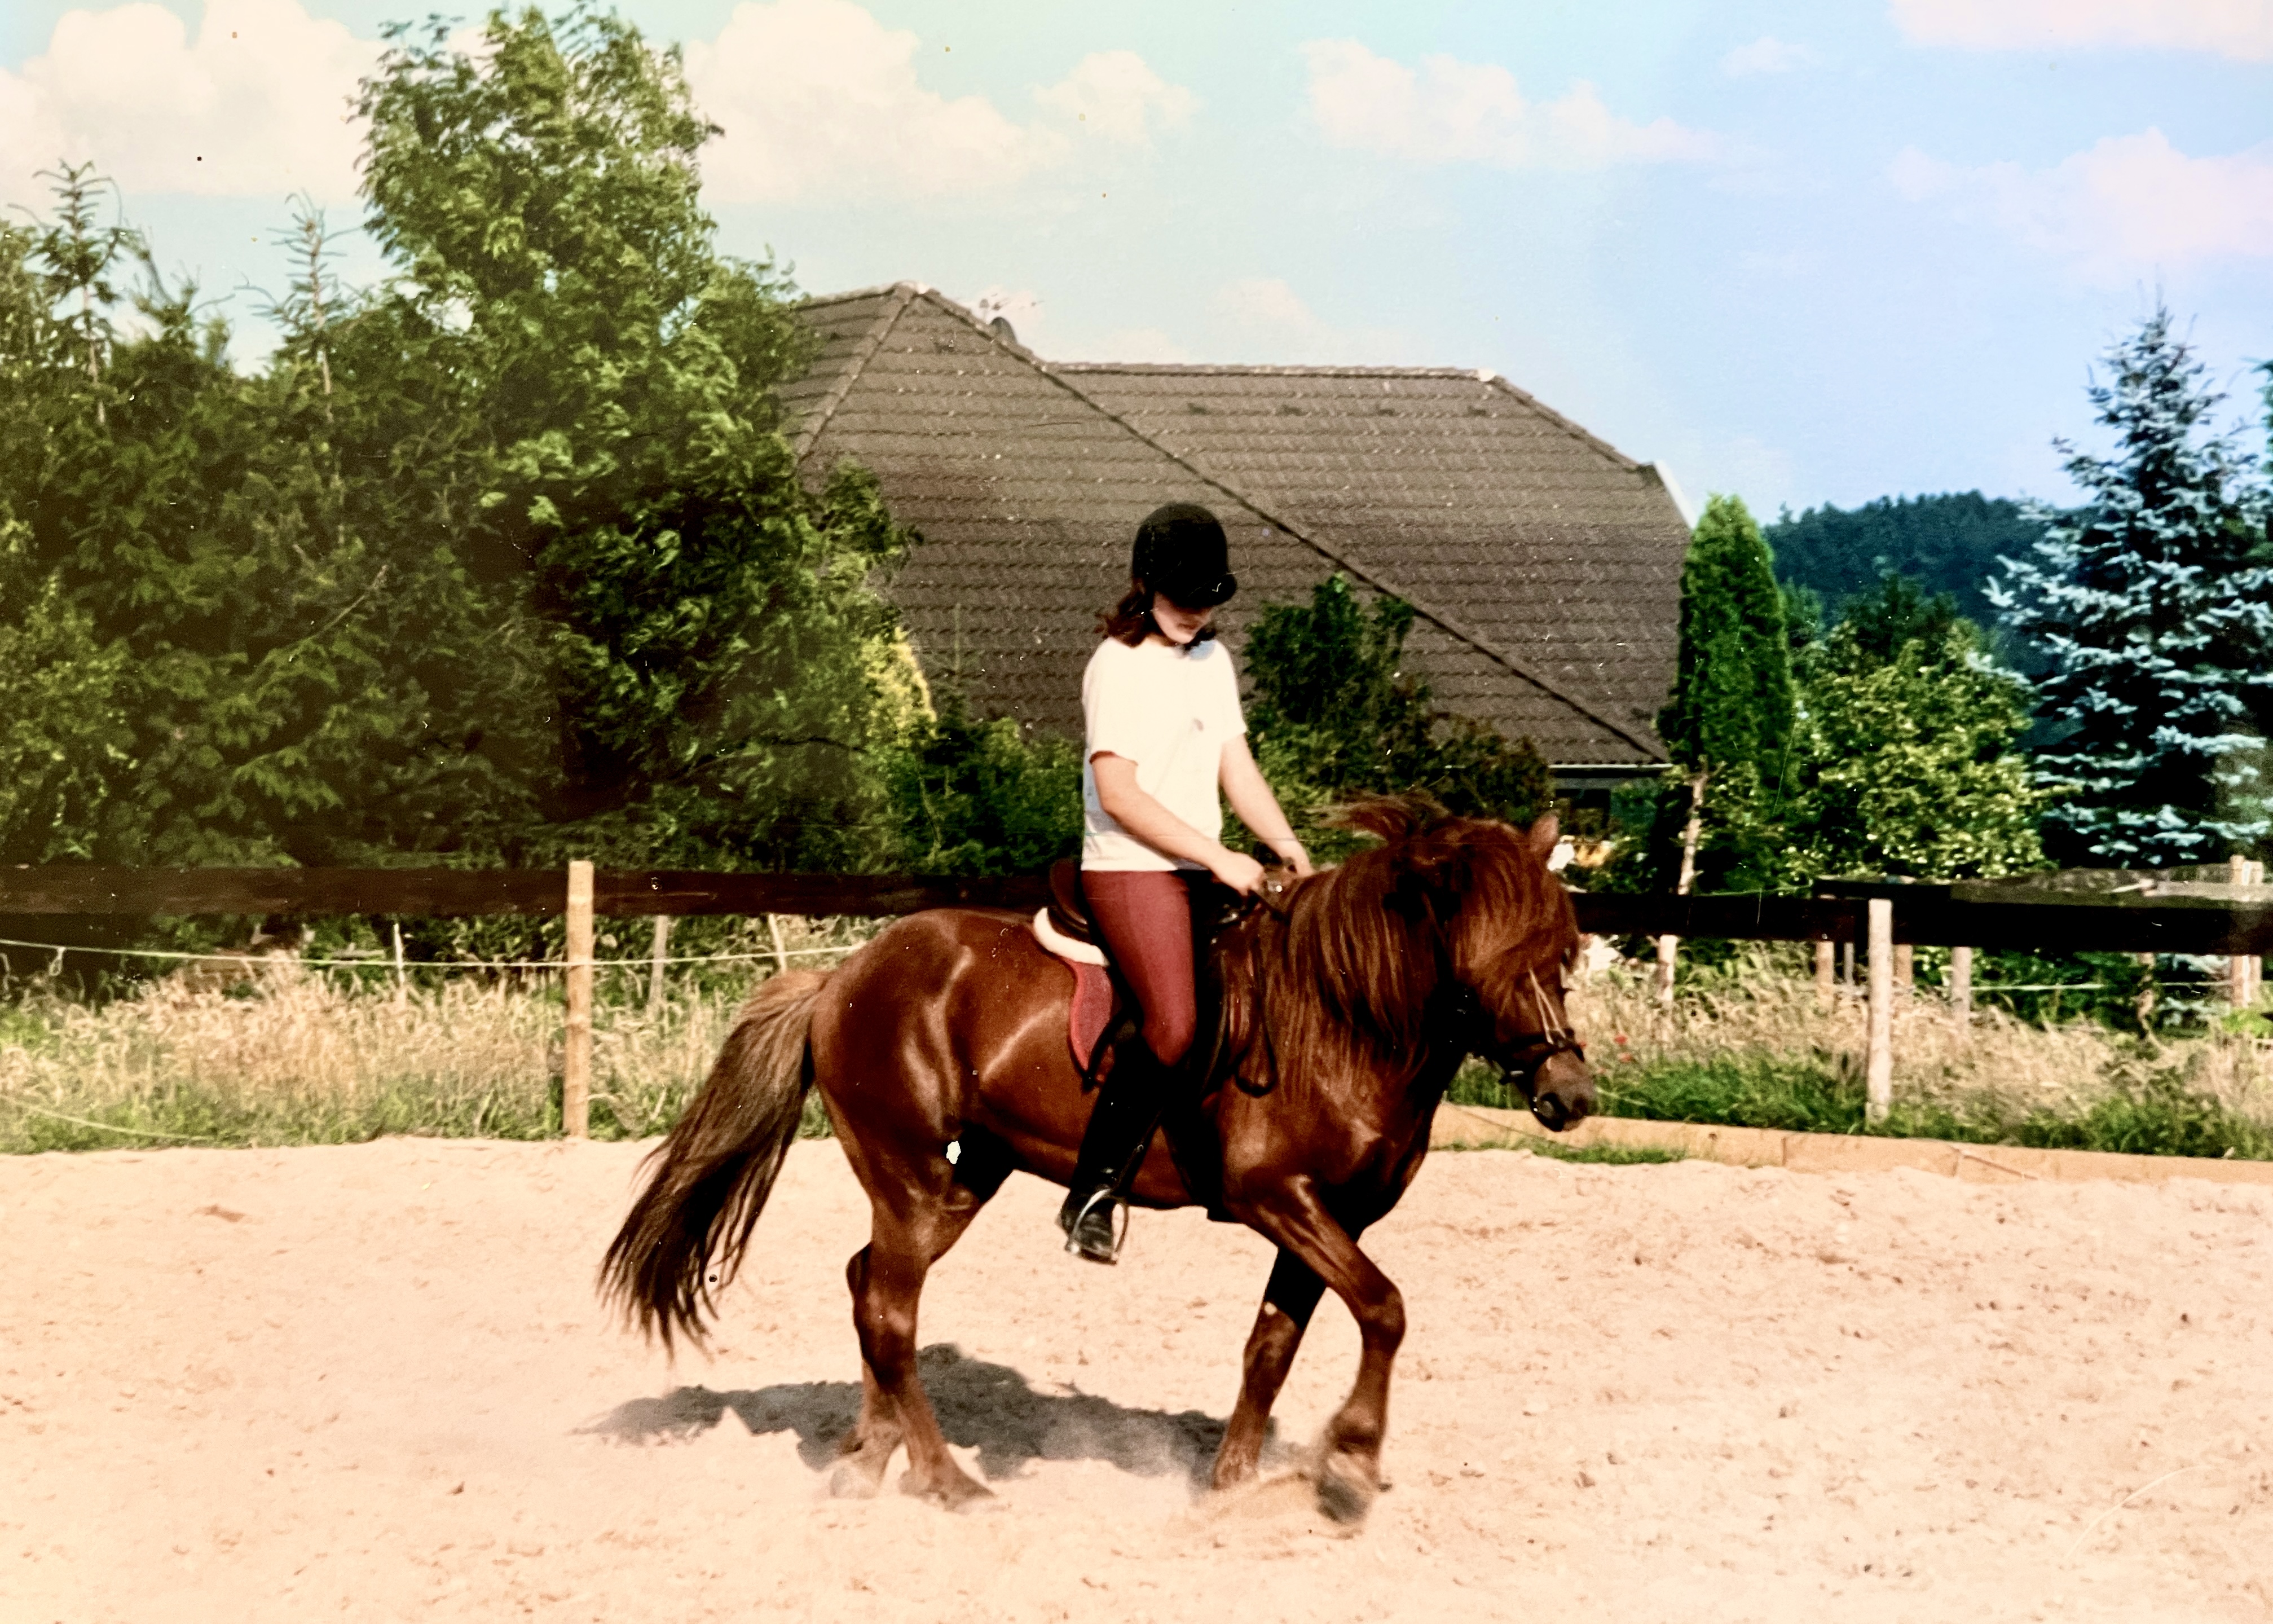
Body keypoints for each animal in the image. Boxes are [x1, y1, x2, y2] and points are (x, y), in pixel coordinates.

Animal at [598, 797, 1594, 1520]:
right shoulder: (1280, 1197)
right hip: (909, 1167)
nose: (1571, 1094)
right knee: (888, 1308)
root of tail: (841, 974)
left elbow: (1272, 1346)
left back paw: (867, 1460)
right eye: (1494, 961)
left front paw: (1230, 1488)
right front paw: (1348, 1464)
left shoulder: (1328, 1217)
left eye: (1566, 953)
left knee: (868, 1284)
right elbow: (1384, 1308)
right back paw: (948, 1480)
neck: (1342, 1020)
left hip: (964, 1173)